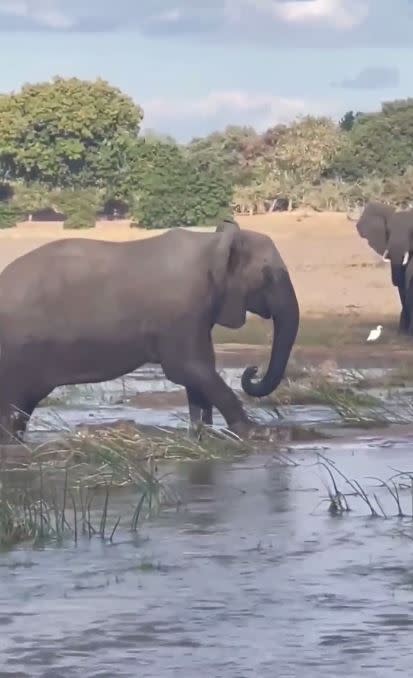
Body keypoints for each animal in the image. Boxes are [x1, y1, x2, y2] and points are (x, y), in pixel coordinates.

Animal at [0, 220, 298, 444]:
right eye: (268, 275)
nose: (252, 370)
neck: (213, 244)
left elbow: (197, 372)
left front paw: (201, 434)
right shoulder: (180, 310)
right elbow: (189, 368)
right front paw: (260, 433)